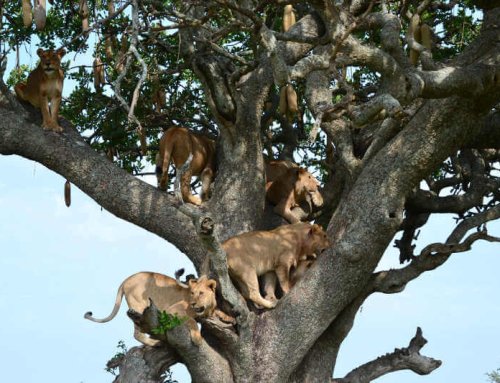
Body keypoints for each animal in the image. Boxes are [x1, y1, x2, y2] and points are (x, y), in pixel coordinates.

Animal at [85, 272, 220, 348]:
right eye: (192, 293)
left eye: (201, 293)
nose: (192, 303)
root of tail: (126, 280)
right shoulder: (173, 309)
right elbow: (191, 320)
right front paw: (197, 339)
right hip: (139, 306)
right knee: (137, 333)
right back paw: (155, 343)